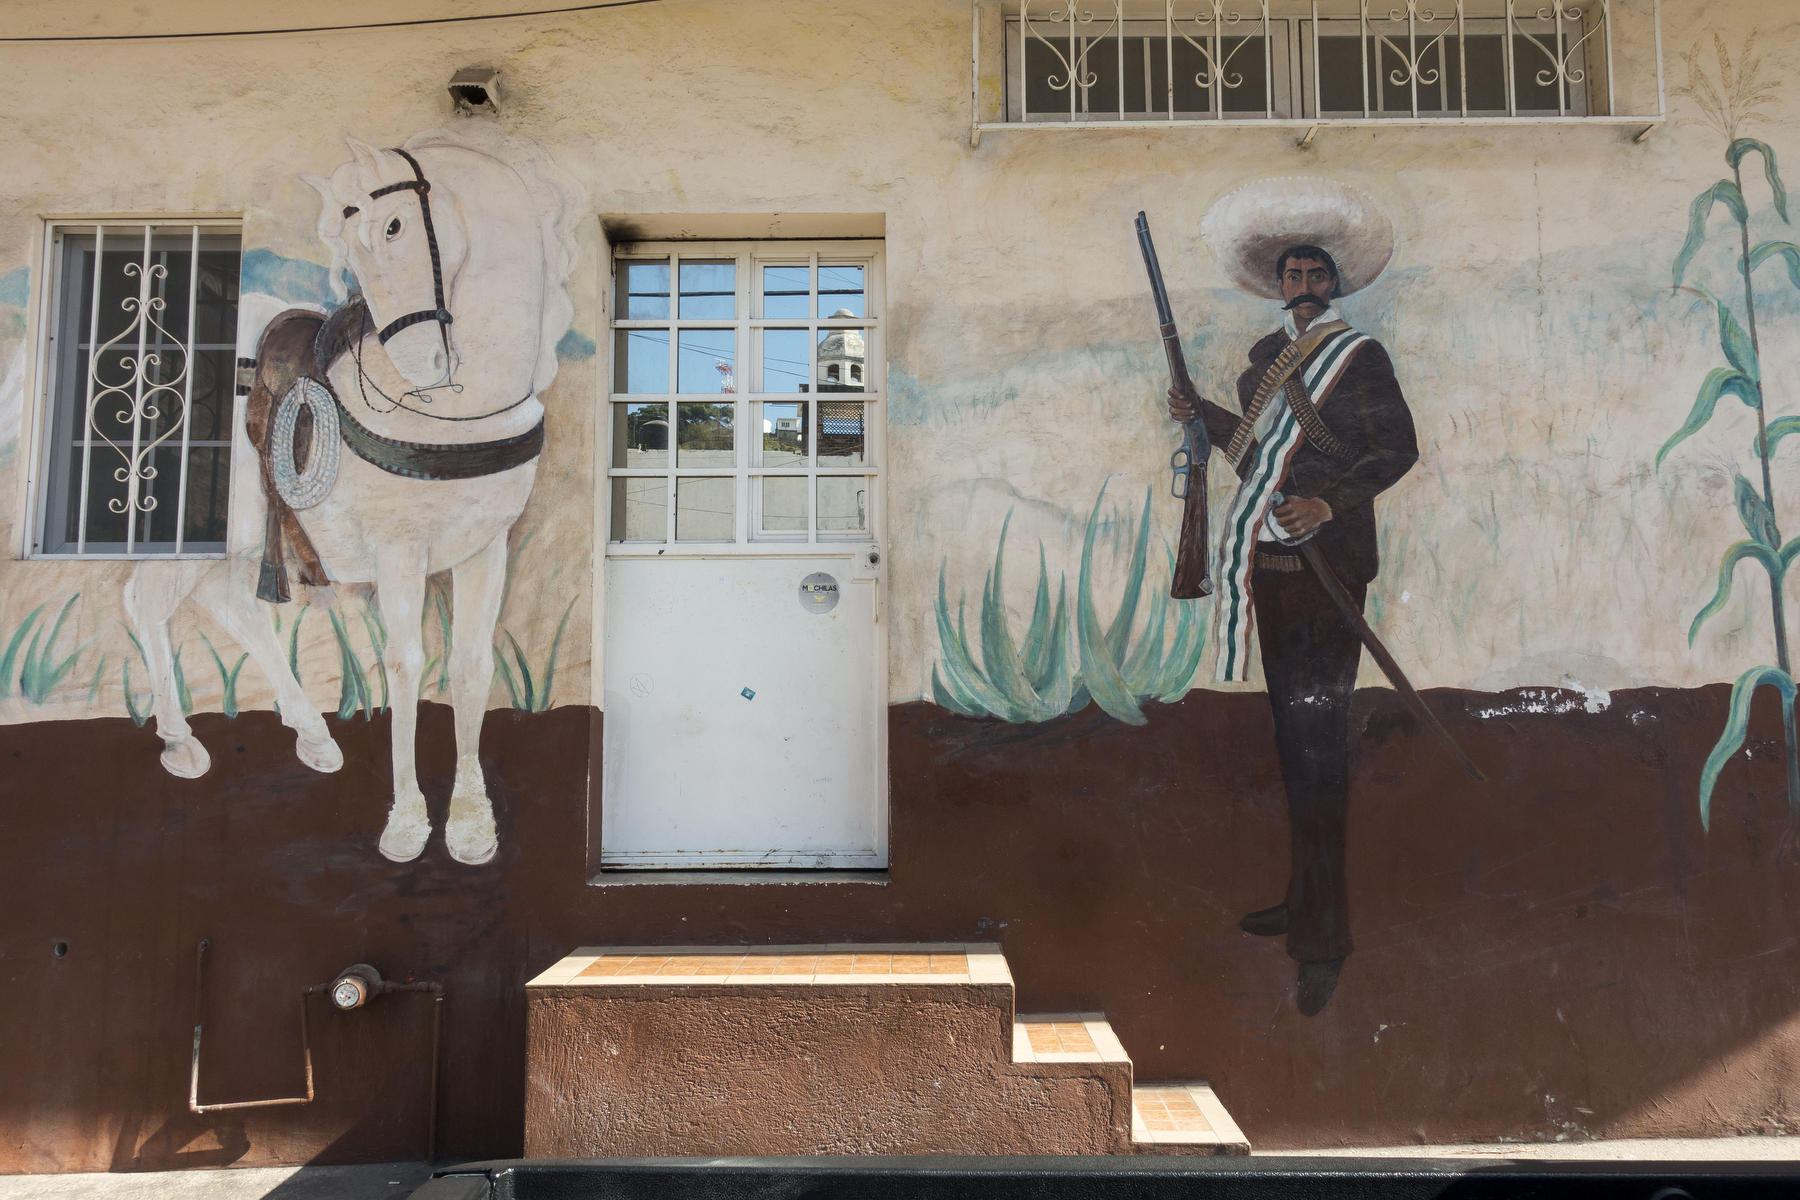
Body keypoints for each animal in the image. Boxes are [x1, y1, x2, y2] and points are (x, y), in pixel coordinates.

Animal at [125, 131, 583, 863]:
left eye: (393, 226)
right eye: (343, 244)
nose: (424, 367)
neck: (457, 418)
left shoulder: (486, 548)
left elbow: (470, 666)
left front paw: (472, 823)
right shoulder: (399, 551)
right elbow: (404, 664)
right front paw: (406, 824)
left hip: (246, 538)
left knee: (235, 607)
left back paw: (312, 734)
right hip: (192, 533)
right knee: (147, 602)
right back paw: (180, 741)